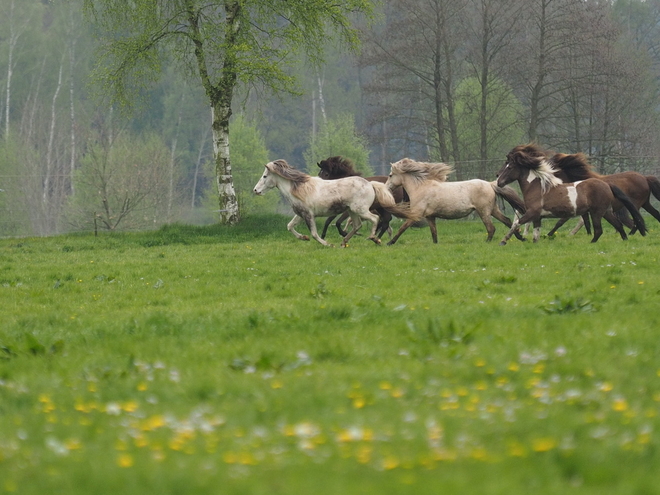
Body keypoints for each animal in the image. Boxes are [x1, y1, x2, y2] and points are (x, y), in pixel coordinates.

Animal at [253, 160, 398, 247]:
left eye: (265, 176)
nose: (255, 190)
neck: (298, 189)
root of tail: (370, 184)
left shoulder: (308, 215)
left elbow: (314, 234)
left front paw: (328, 244)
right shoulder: (300, 214)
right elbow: (289, 226)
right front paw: (303, 237)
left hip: (360, 210)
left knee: (375, 219)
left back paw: (374, 238)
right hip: (352, 211)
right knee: (357, 225)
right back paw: (344, 242)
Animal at [382, 158, 524, 245]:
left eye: (390, 175)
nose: (386, 188)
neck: (420, 187)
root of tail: (490, 184)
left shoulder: (416, 215)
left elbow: (402, 228)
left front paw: (390, 242)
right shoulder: (430, 217)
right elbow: (434, 233)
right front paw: (435, 245)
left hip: (483, 211)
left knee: (491, 228)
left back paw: (487, 242)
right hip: (493, 209)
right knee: (507, 221)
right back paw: (520, 238)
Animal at [496, 142, 644, 245]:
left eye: (509, 167)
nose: (498, 181)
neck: (537, 187)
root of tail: (607, 184)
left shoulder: (532, 213)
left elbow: (516, 223)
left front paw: (504, 241)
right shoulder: (537, 217)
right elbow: (535, 234)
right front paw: (532, 241)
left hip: (597, 212)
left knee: (599, 230)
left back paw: (591, 243)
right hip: (606, 211)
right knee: (617, 225)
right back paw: (624, 240)